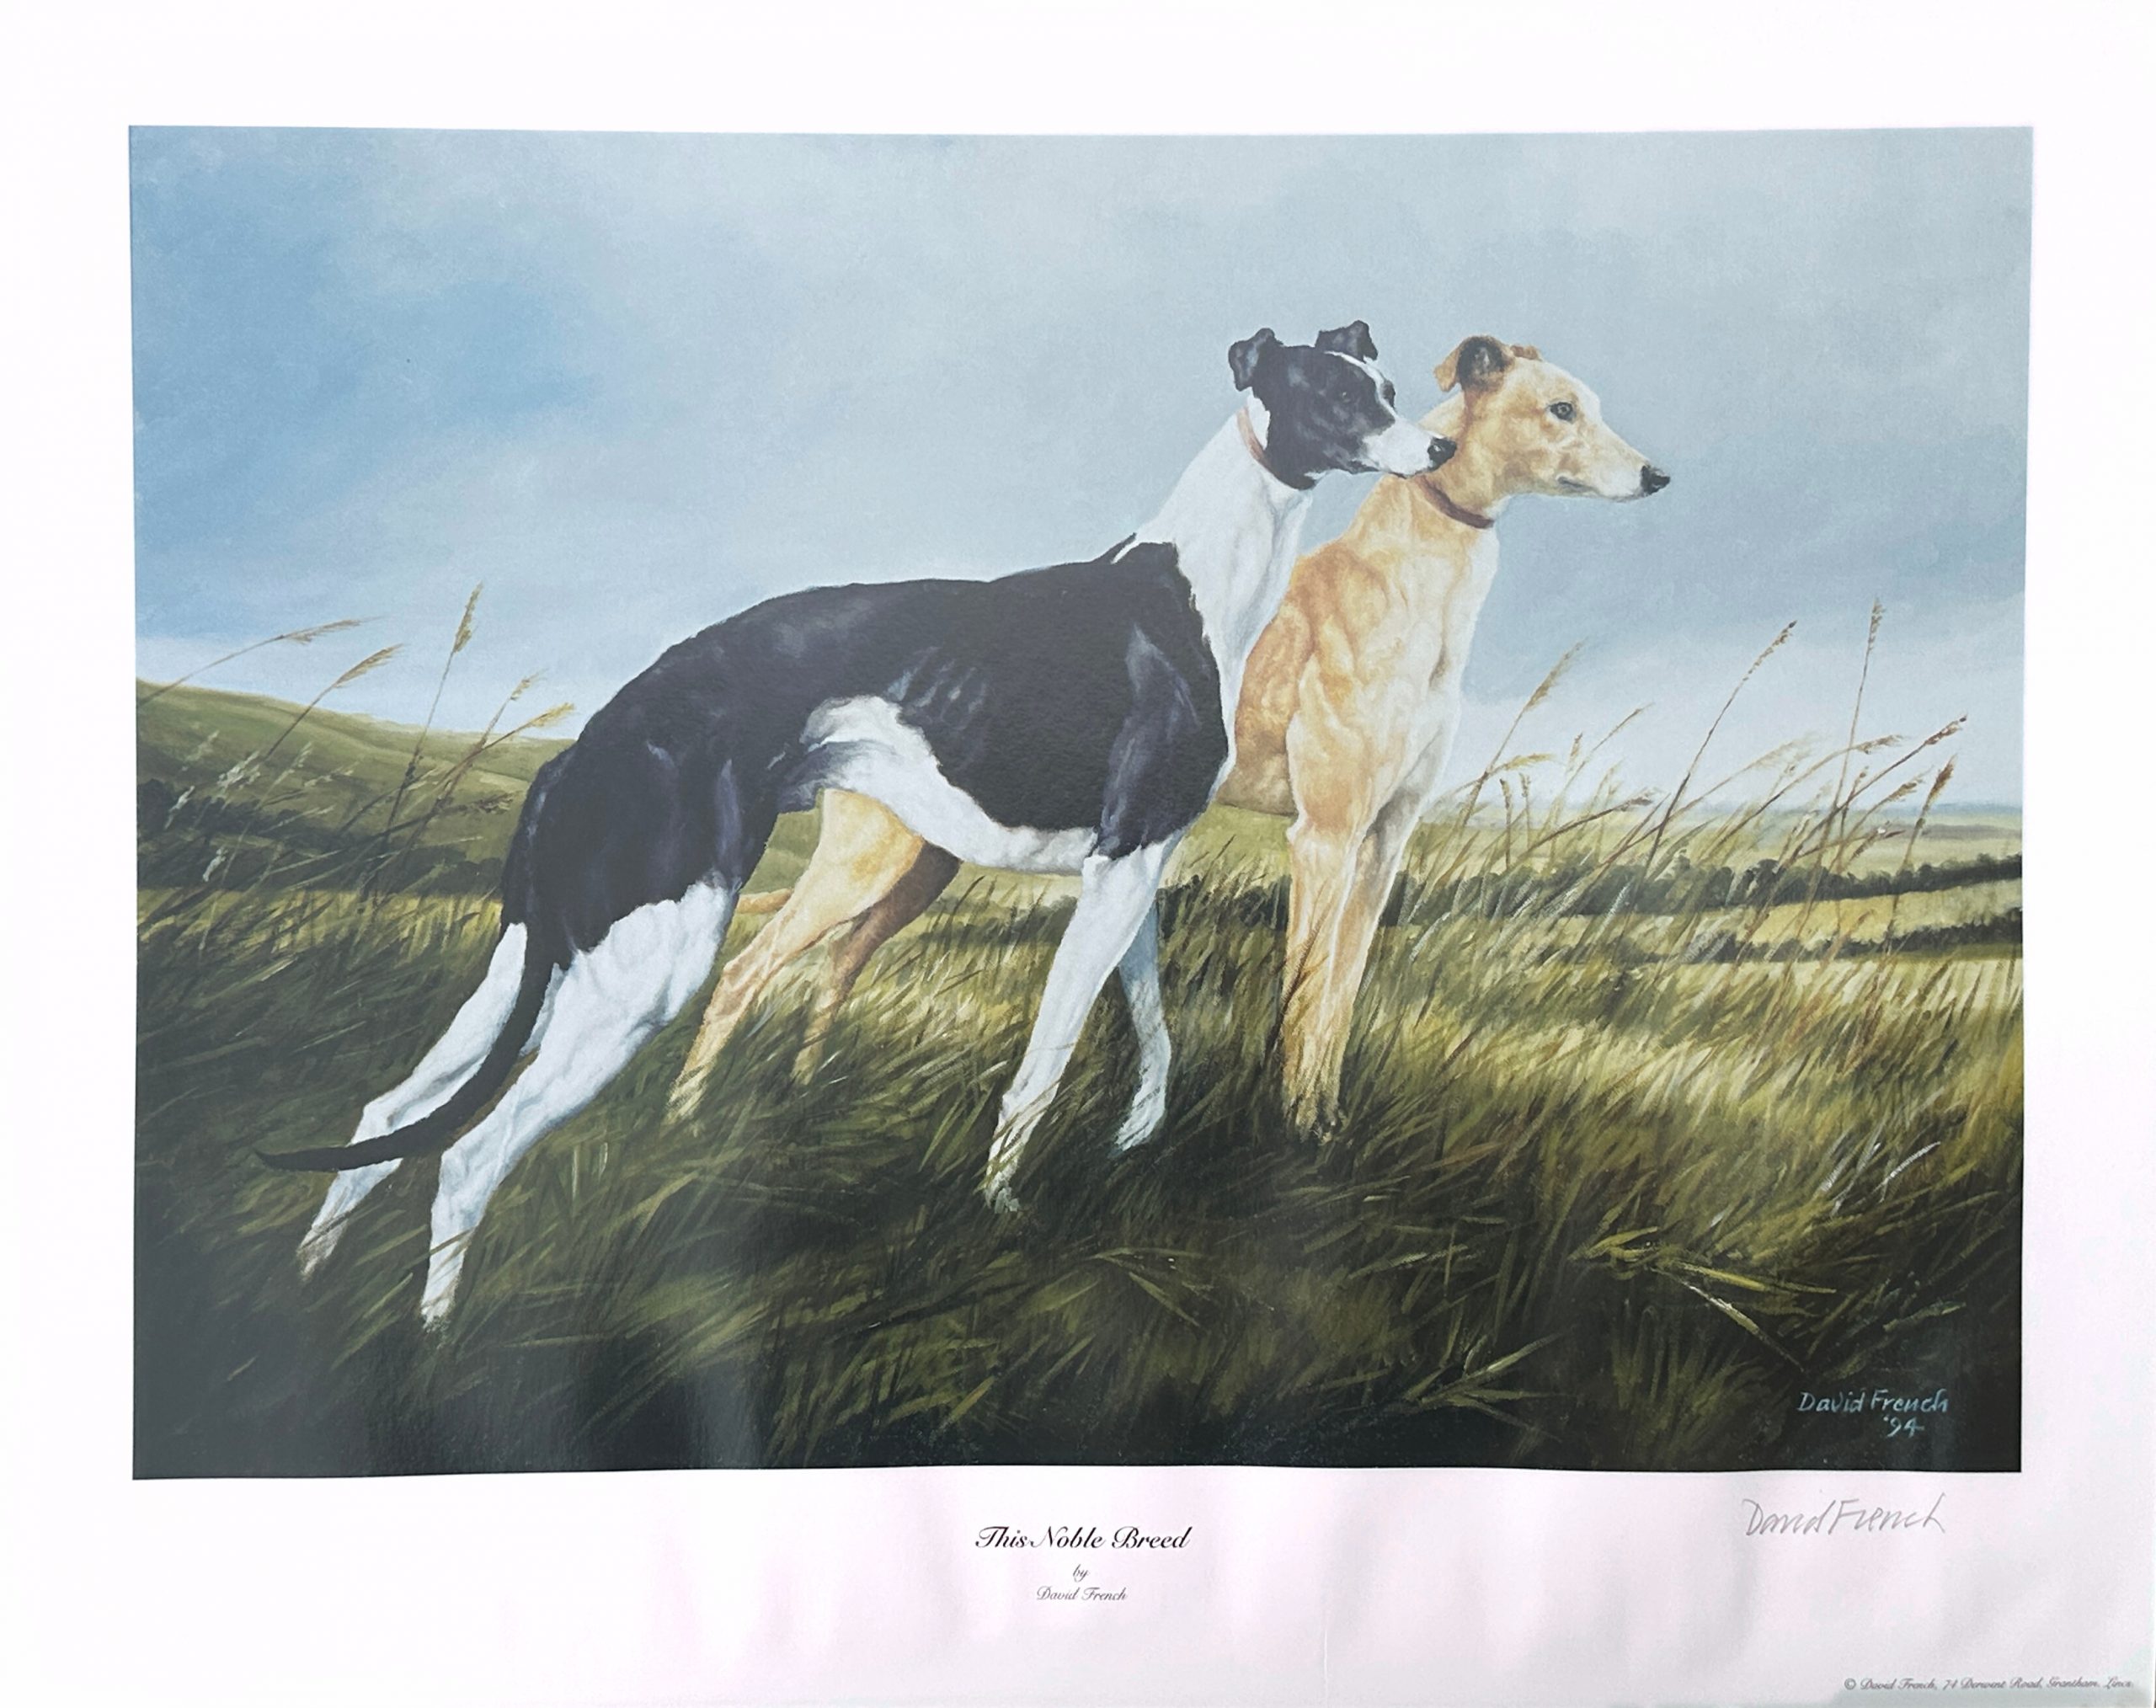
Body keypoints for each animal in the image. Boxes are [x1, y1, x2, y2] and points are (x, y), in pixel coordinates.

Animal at [263, 323, 1451, 1320]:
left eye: (1388, 385)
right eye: (1341, 398)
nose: (1438, 447)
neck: (1192, 589)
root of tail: (575, 754)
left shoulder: (1134, 866)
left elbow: (1151, 1026)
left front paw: (1132, 1139)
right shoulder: (1121, 867)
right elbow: (1049, 1054)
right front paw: (1002, 1208)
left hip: (538, 959)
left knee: (382, 1118)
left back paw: (312, 1296)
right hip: (644, 972)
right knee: (469, 1157)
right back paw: (438, 1350)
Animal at [666, 337, 1667, 1135]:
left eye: (1588, 403)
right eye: (1562, 408)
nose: (1658, 478)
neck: (1407, 584)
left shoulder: (1385, 842)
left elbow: (1339, 1001)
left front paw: (1327, 1123)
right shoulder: (1324, 837)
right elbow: (1305, 996)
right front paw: (1293, 1136)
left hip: (919, 867)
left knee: (835, 968)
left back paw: (804, 1092)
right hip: (868, 860)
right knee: (747, 975)